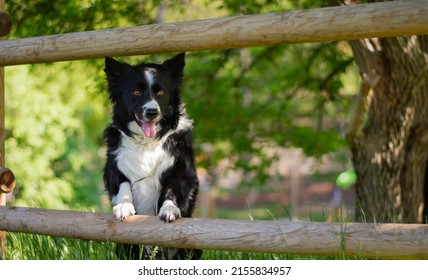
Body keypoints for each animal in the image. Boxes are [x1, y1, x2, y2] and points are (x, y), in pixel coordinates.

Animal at [102, 53, 201, 260]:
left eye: (161, 93)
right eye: (136, 93)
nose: (152, 112)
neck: (146, 142)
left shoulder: (183, 170)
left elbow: (172, 189)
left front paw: (169, 208)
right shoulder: (112, 166)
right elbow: (122, 183)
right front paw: (123, 206)